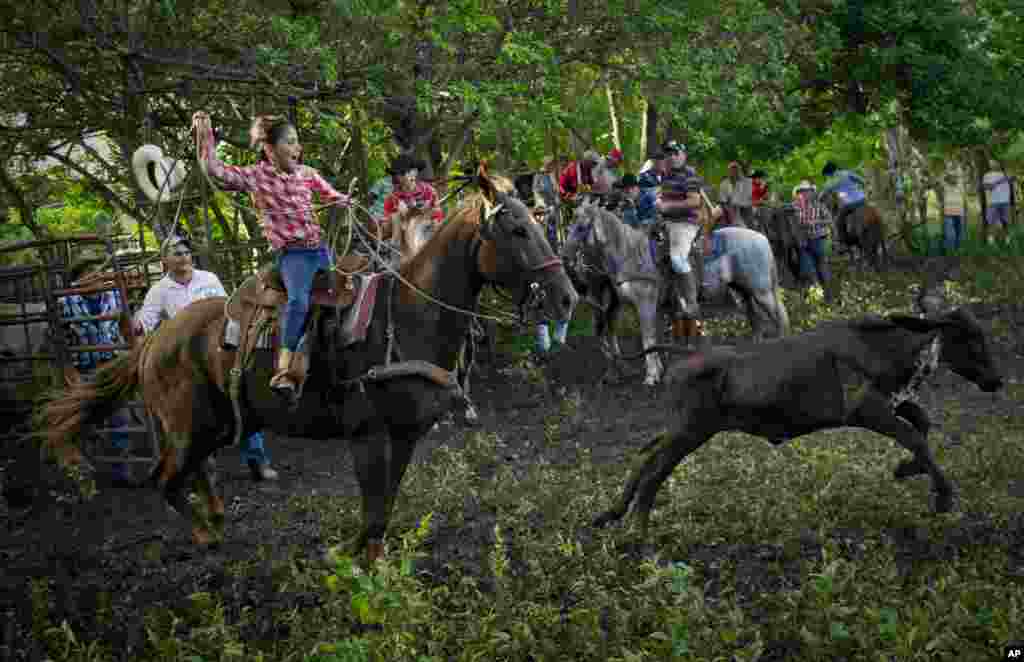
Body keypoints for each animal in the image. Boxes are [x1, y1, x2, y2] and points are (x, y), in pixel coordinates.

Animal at [32, 171, 577, 565]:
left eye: (538, 221)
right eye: (516, 229)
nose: (567, 297)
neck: (404, 315)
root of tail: (154, 339)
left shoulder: (405, 433)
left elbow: (383, 506)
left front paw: (360, 553)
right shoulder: (366, 434)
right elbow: (373, 507)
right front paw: (362, 566)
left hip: (213, 424)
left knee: (189, 474)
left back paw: (216, 521)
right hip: (187, 425)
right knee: (164, 479)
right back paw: (206, 534)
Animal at [598, 309, 1003, 541]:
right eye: (972, 339)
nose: (996, 380)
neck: (887, 347)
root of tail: (687, 356)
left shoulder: (895, 404)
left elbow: (923, 425)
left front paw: (905, 469)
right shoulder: (867, 411)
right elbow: (916, 437)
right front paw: (943, 498)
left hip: (681, 430)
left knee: (646, 454)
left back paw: (613, 514)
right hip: (690, 432)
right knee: (655, 469)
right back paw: (636, 530)